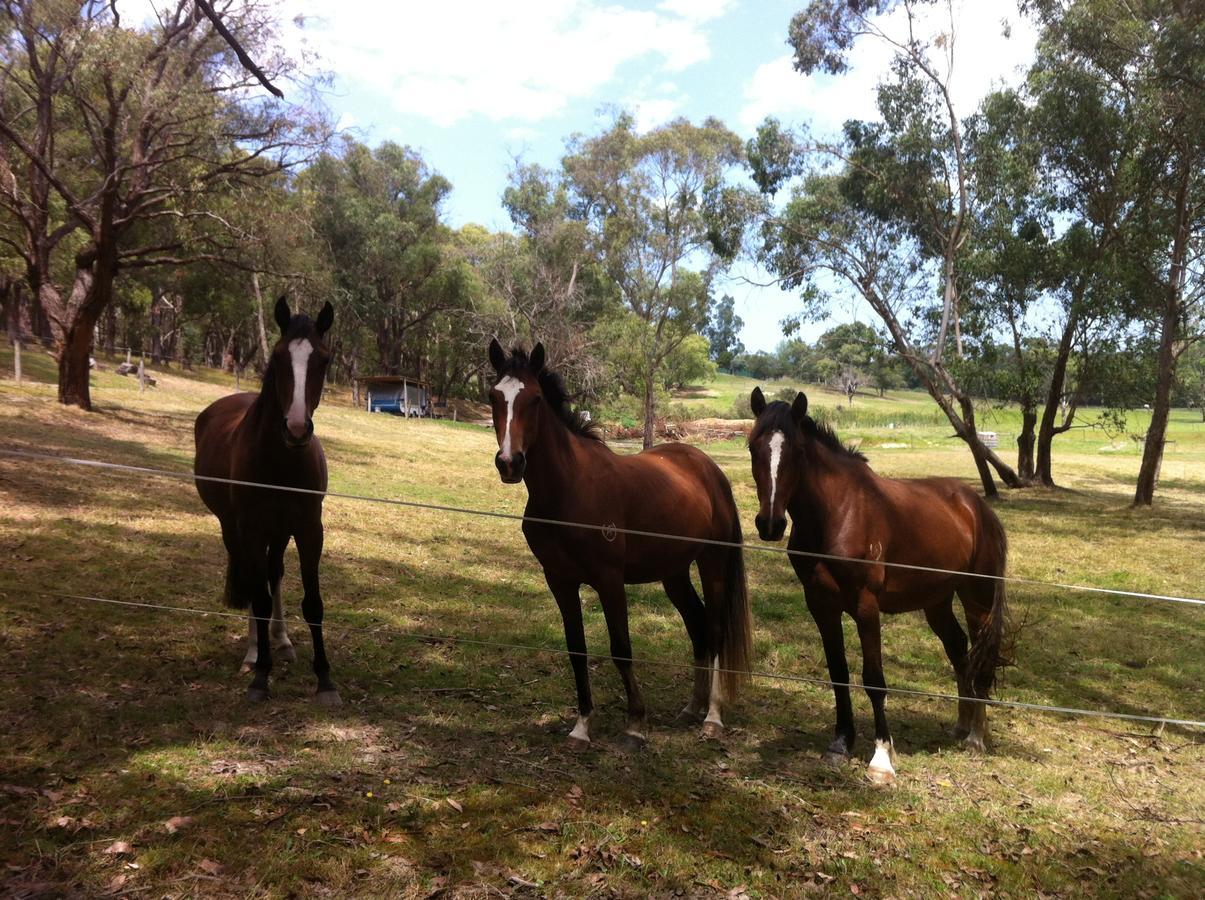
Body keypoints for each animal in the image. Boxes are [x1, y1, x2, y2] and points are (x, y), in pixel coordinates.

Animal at [194, 298, 339, 708]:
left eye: (323, 359)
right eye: (278, 357)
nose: (296, 428)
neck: (281, 460)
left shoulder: (308, 528)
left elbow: (313, 603)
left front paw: (325, 680)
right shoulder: (252, 528)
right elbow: (257, 598)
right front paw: (260, 676)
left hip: (280, 530)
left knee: (274, 574)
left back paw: (282, 642)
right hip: (235, 529)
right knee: (252, 581)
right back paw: (255, 651)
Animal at [484, 342, 747, 751]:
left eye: (536, 399)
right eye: (494, 397)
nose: (510, 463)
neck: (569, 490)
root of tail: (706, 467)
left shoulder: (609, 581)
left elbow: (621, 649)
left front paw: (635, 725)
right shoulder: (559, 581)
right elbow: (576, 649)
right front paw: (581, 726)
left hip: (713, 563)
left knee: (715, 630)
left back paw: (712, 717)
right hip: (674, 574)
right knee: (698, 626)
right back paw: (692, 708)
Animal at [747, 390, 1012, 785]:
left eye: (797, 450)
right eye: (753, 446)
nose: (770, 524)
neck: (837, 513)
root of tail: (978, 508)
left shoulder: (865, 605)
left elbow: (874, 680)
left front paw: (881, 759)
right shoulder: (821, 605)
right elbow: (838, 673)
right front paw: (840, 744)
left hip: (977, 598)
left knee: (982, 655)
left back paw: (977, 737)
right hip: (936, 602)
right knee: (958, 649)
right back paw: (962, 726)